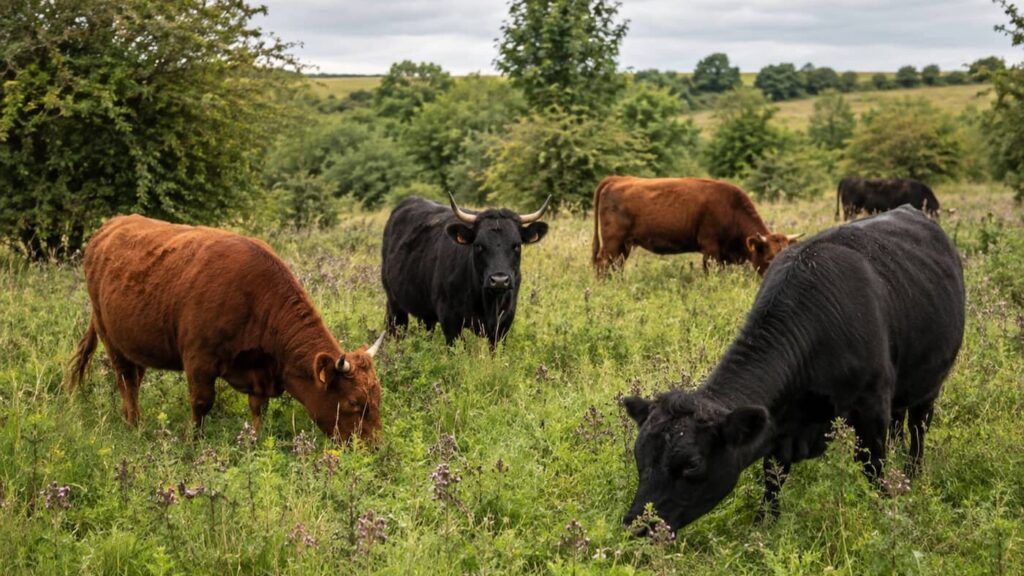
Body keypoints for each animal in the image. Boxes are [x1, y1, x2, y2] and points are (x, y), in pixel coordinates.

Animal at [68, 214, 383, 442]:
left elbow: (258, 408)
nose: (372, 446)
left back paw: (127, 417)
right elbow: (202, 403)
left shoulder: (259, 371)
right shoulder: (199, 360)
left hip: (135, 342)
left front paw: (256, 441)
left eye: (377, 396)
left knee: (134, 378)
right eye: (355, 402)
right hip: (110, 336)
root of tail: (110, 226)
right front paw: (194, 442)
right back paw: (134, 424)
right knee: (126, 381)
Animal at [381, 194, 549, 347]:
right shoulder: (449, 319)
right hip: (394, 302)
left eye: (517, 245)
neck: (488, 303)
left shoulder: (504, 322)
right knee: (396, 329)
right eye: (478, 245)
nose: (499, 280)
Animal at [592, 176, 801, 277]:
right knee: (603, 264)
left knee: (615, 265)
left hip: (623, 245)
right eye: (769, 257)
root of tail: (618, 179)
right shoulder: (710, 249)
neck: (731, 208)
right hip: (612, 242)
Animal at [621, 205, 964, 533]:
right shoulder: (779, 428)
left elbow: (873, 468)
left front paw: (886, 510)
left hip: (929, 385)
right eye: (639, 456)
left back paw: (912, 475)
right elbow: (773, 478)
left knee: (918, 430)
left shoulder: (872, 407)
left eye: (691, 464)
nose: (637, 525)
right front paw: (764, 524)